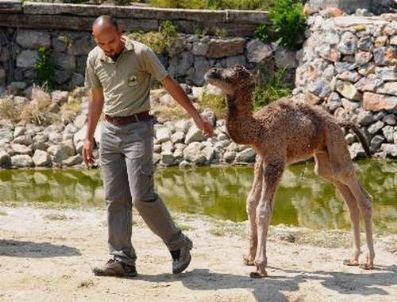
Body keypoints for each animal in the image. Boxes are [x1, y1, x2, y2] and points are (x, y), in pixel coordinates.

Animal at [204, 65, 374, 278]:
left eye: (234, 73)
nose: (211, 71)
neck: (259, 129)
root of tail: (339, 121)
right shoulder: (261, 160)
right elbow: (251, 202)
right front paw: (249, 257)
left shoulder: (275, 160)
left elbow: (263, 209)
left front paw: (260, 265)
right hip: (324, 159)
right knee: (349, 200)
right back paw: (353, 258)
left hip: (336, 144)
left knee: (360, 193)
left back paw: (368, 261)